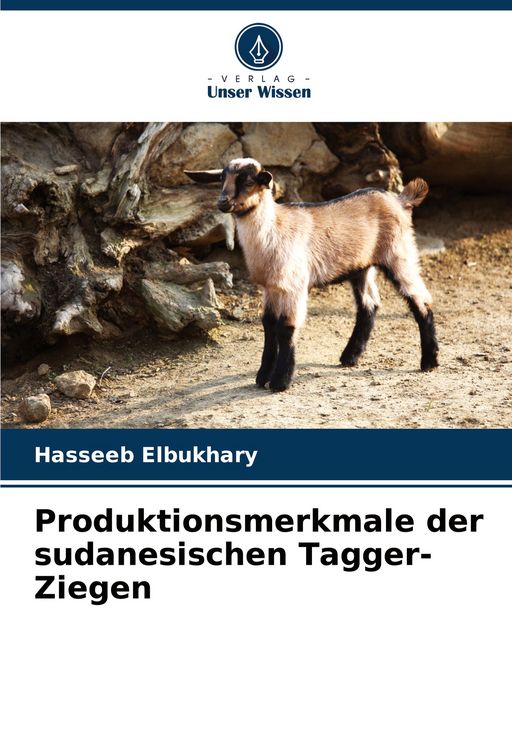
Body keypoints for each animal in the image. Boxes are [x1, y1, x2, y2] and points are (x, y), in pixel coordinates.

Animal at [185, 158, 439, 392]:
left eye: (248, 181)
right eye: (221, 178)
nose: (222, 202)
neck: (274, 228)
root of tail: (400, 199)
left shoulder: (294, 285)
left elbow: (285, 328)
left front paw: (280, 381)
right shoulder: (271, 287)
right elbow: (269, 326)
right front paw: (262, 376)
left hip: (399, 253)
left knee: (421, 299)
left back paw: (430, 361)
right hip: (361, 266)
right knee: (369, 305)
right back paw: (350, 357)